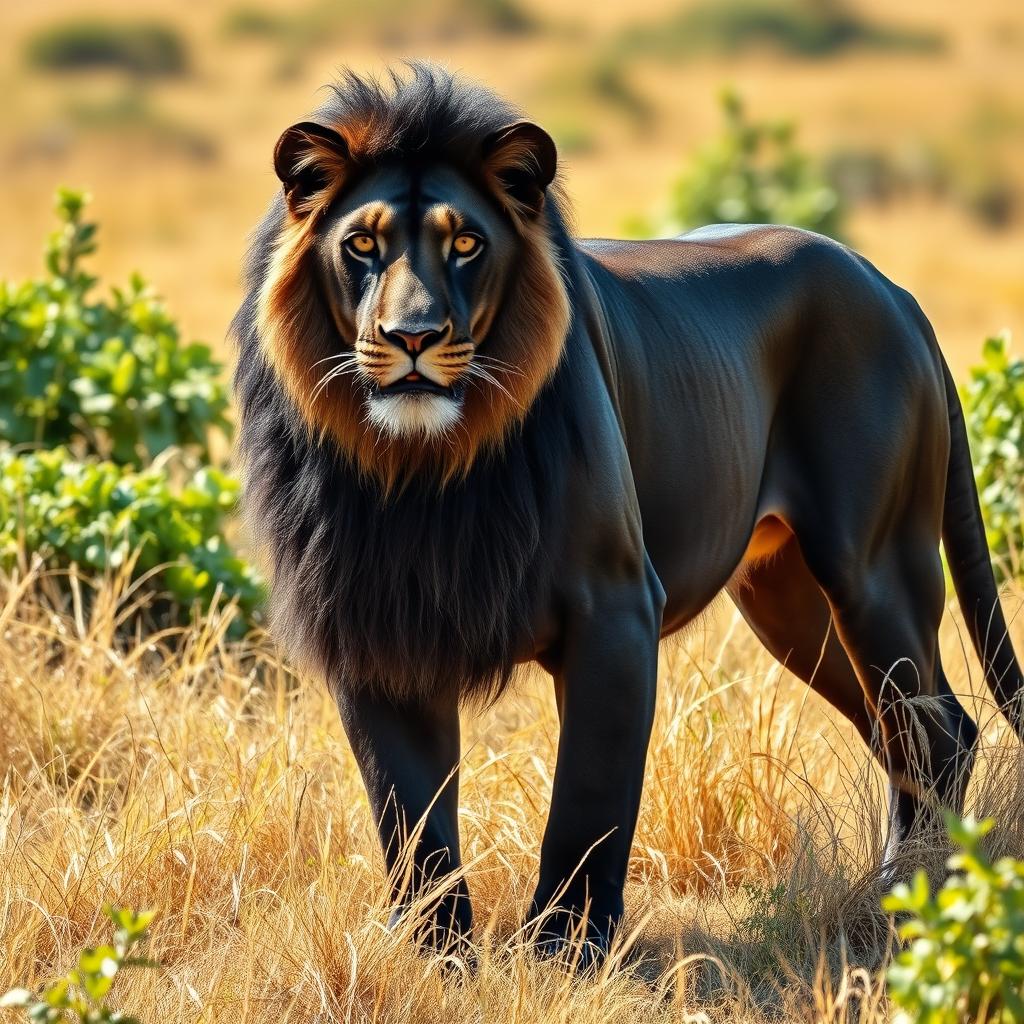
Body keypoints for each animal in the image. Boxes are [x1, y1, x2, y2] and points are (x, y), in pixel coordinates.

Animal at [232, 64, 1024, 960]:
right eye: (362, 245)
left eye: (466, 243)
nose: (412, 335)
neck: (424, 473)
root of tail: (889, 286)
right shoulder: (375, 624)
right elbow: (410, 812)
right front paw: (437, 954)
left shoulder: (614, 607)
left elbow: (588, 797)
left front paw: (565, 949)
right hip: (785, 596)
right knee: (901, 731)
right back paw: (903, 889)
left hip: (875, 568)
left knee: (937, 728)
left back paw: (919, 899)